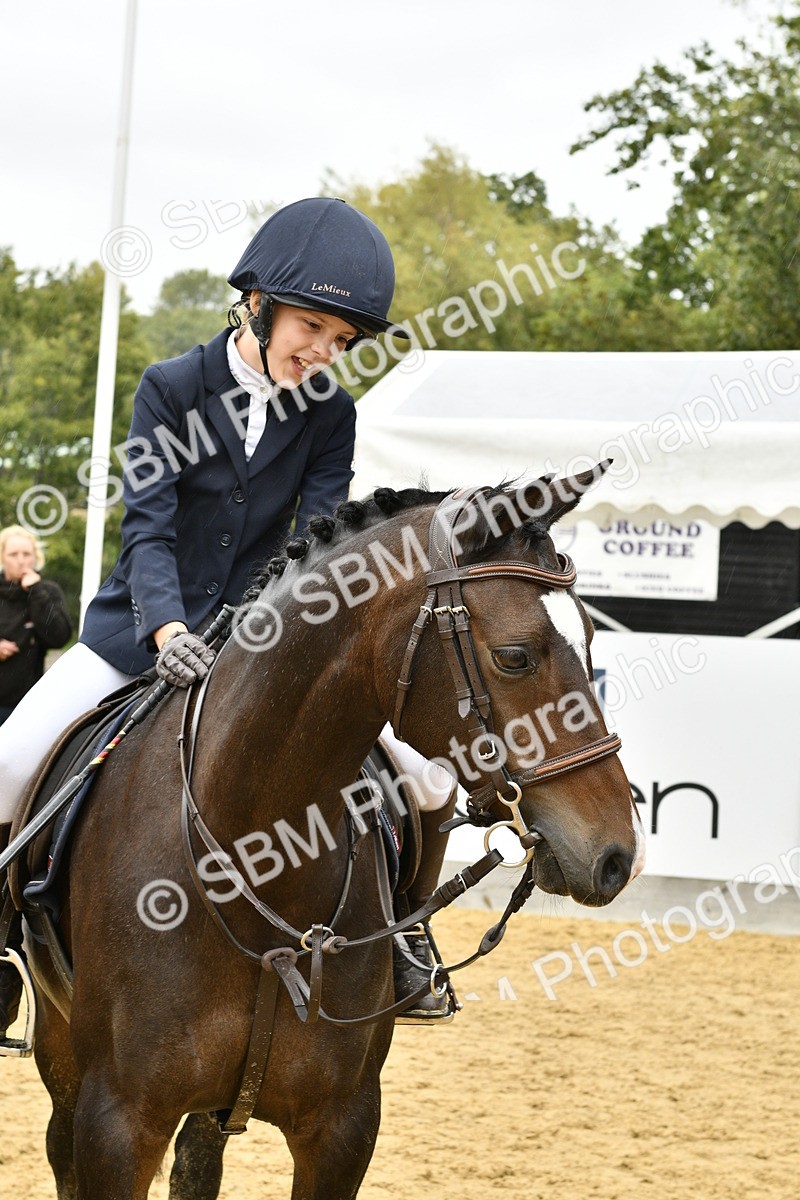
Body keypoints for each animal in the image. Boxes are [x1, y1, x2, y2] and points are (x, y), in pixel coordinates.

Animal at [18, 468, 643, 1200]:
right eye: (514, 656)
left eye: (590, 642)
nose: (616, 856)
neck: (254, 855)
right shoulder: (117, 1123)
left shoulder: (343, 1128)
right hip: (61, 1050)